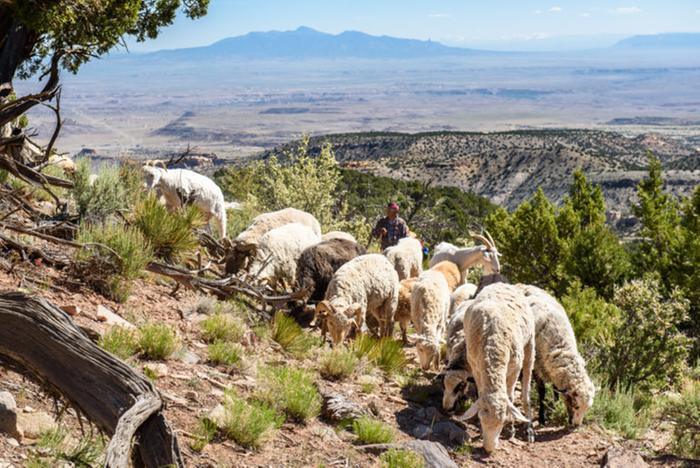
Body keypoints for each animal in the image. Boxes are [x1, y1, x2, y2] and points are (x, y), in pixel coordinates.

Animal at [454, 282, 536, 454]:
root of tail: (503, 283)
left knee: (526, 391)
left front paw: (511, 428)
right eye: (480, 418)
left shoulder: (514, 368)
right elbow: (480, 393)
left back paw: (529, 428)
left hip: (530, 344)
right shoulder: (475, 366)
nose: (489, 449)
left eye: (502, 422)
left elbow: (510, 398)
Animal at [516, 284, 596, 426]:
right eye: (576, 406)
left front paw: (554, 407)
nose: (576, 426)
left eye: (587, 408)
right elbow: (542, 391)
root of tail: (521, 285)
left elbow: (555, 389)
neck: (559, 346)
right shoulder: (537, 366)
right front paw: (542, 417)